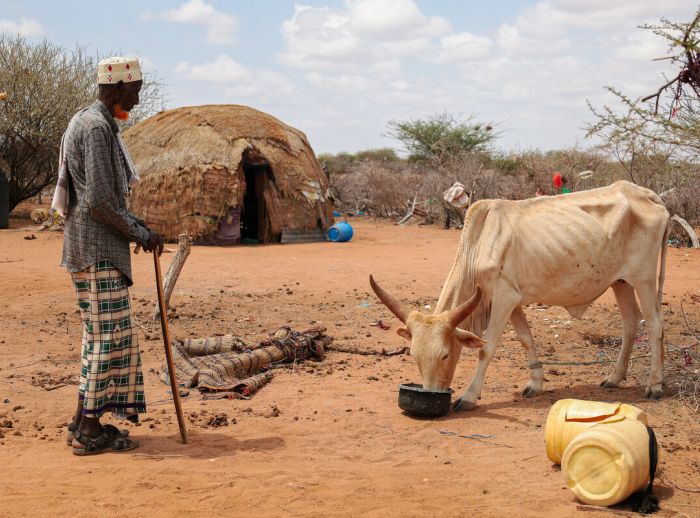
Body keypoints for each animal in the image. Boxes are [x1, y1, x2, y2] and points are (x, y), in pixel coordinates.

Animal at [370, 181, 668, 412]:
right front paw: (535, 384)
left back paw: (655, 385)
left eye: (444, 355)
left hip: (643, 278)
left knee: (654, 324)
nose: (433, 392)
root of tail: (645, 194)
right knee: (630, 324)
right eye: (414, 357)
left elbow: (487, 348)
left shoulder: (504, 298)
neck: (478, 244)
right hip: (621, 282)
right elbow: (526, 339)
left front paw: (468, 397)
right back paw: (614, 378)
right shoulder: (512, 301)